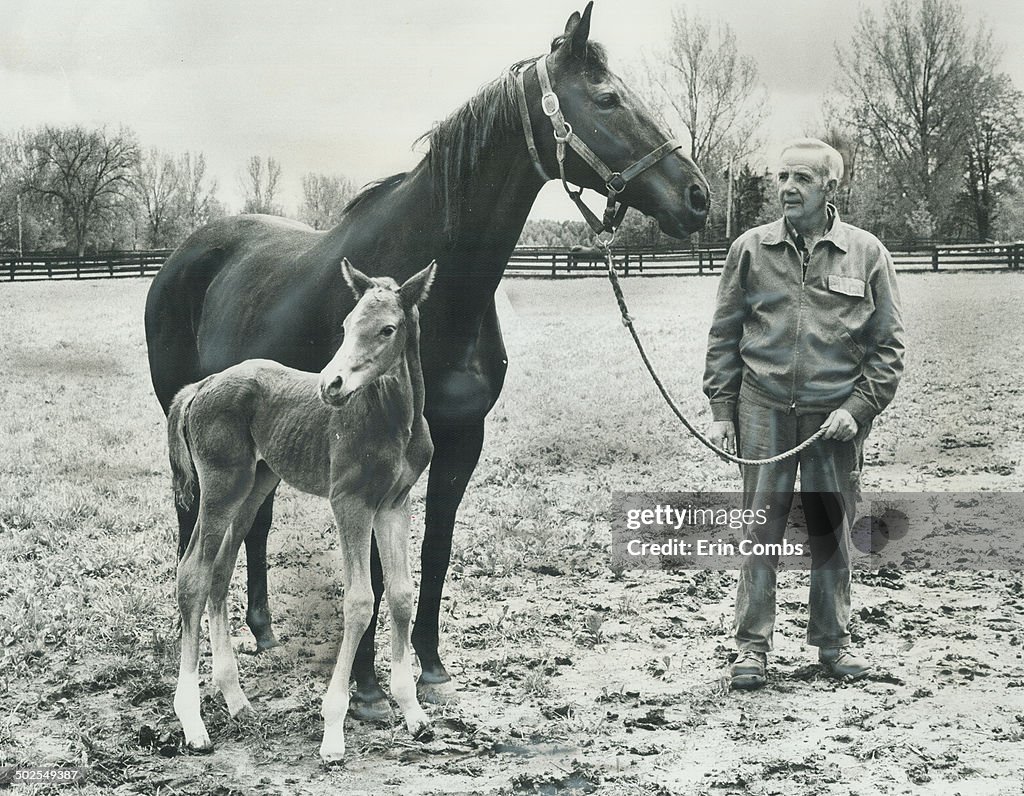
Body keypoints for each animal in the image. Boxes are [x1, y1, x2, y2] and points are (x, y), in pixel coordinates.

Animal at [167, 259, 437, 761]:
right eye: (347, 325)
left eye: (387, 329)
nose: (331, 385)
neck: (394, 420)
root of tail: (200, 387)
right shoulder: (350, 502)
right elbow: (359, 601)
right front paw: (333, 731)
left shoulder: (394, 504)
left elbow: (401, 595)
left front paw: (413, 714)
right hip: (221, 487)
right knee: (192, 572)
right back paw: (193, 723)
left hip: (255, 485)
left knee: (219, 570)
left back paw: (236, 700)